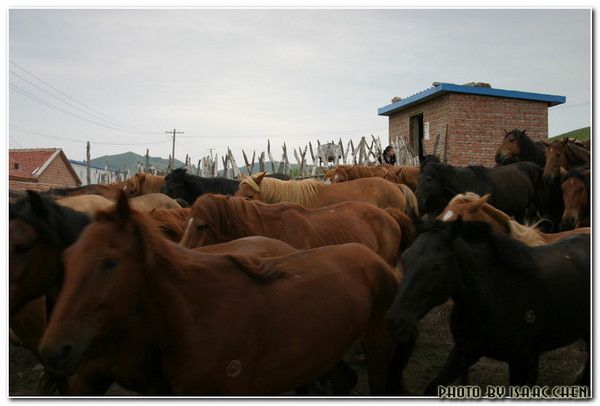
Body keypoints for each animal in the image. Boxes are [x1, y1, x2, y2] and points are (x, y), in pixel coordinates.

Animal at [386, 219, 588, 394]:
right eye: (405, 258)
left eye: (437, 266)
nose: (396, 321)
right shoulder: (464, 351)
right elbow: (432, 387)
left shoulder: (519, 360)